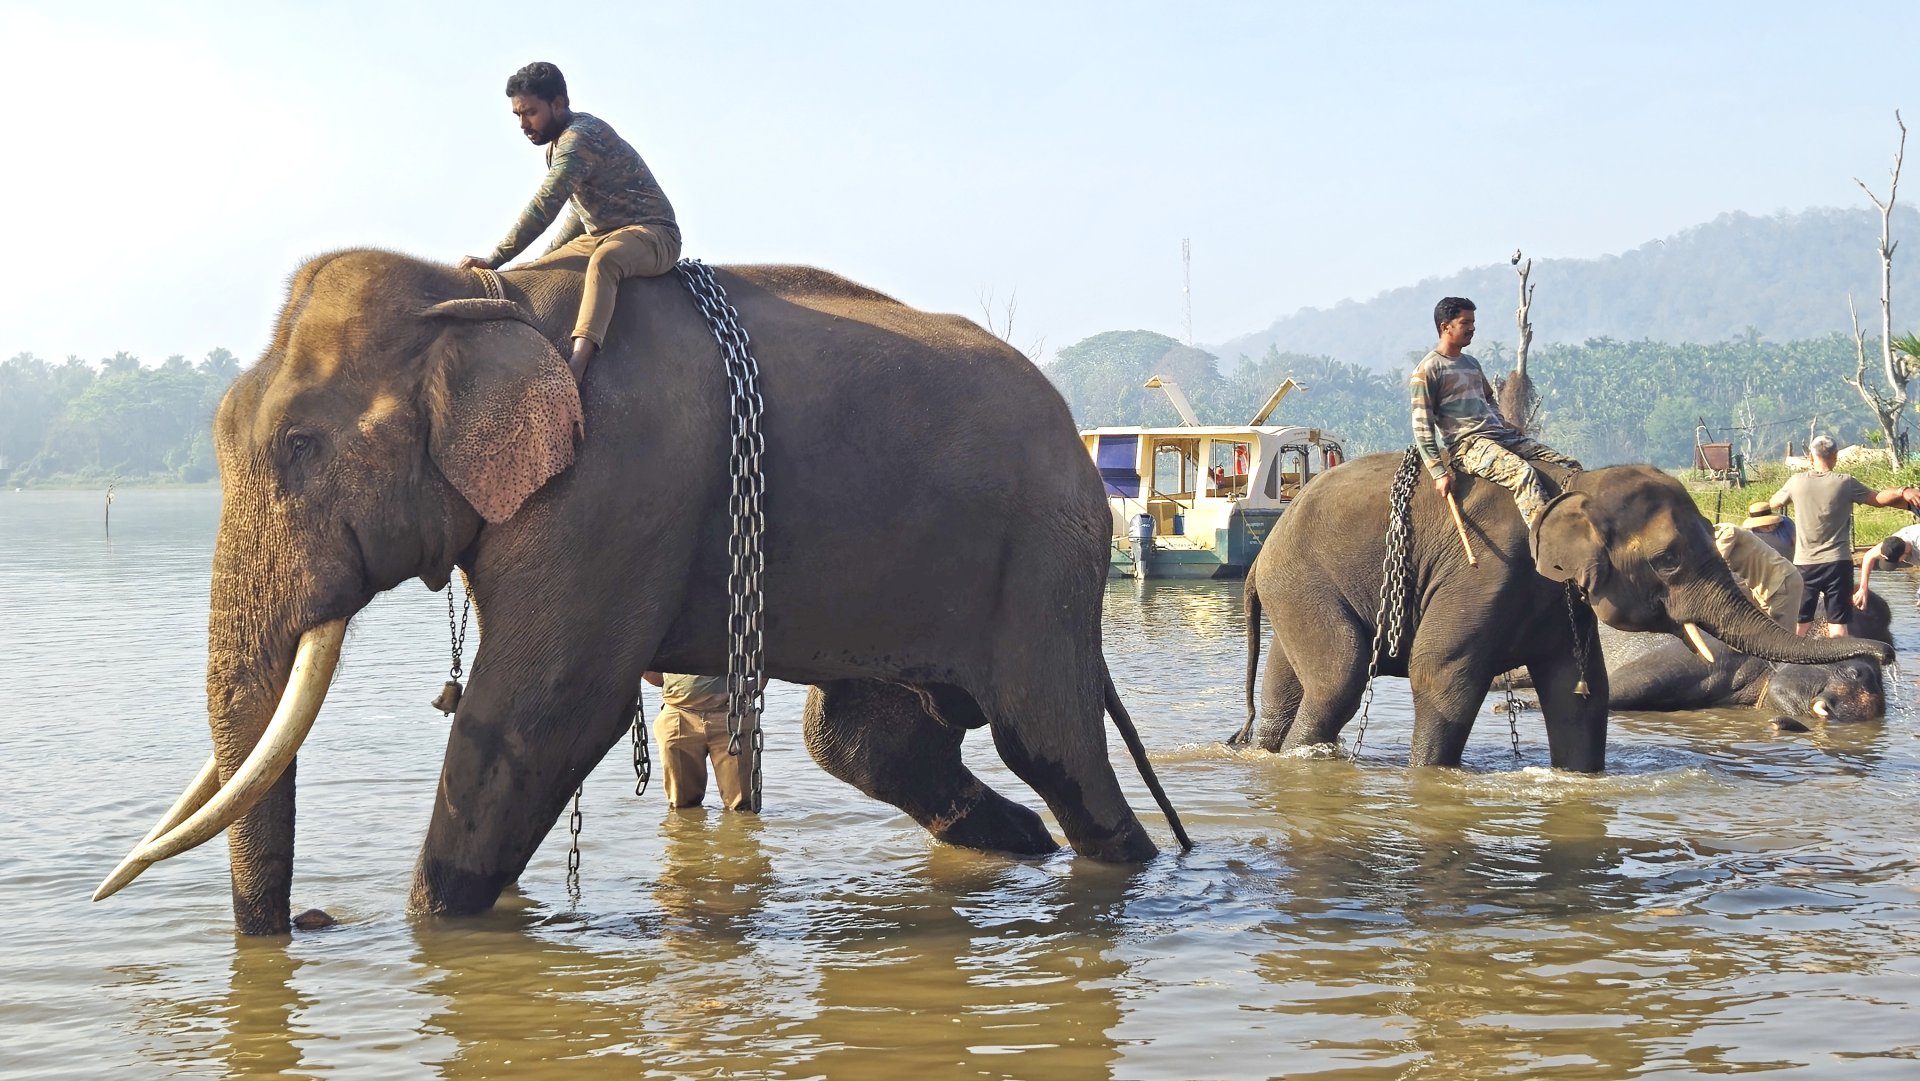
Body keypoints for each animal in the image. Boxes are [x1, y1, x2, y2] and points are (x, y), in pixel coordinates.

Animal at [101, 249, 1198, 933]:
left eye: (299, 446)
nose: (306, 924)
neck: (478, 295)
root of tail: (1079, 438)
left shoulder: (613, 490)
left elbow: (538, 714)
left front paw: (434, 924)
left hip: (1045, 558)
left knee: (1048, 739)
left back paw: (1120, 862)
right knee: (863, 735)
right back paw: (1021, 845)